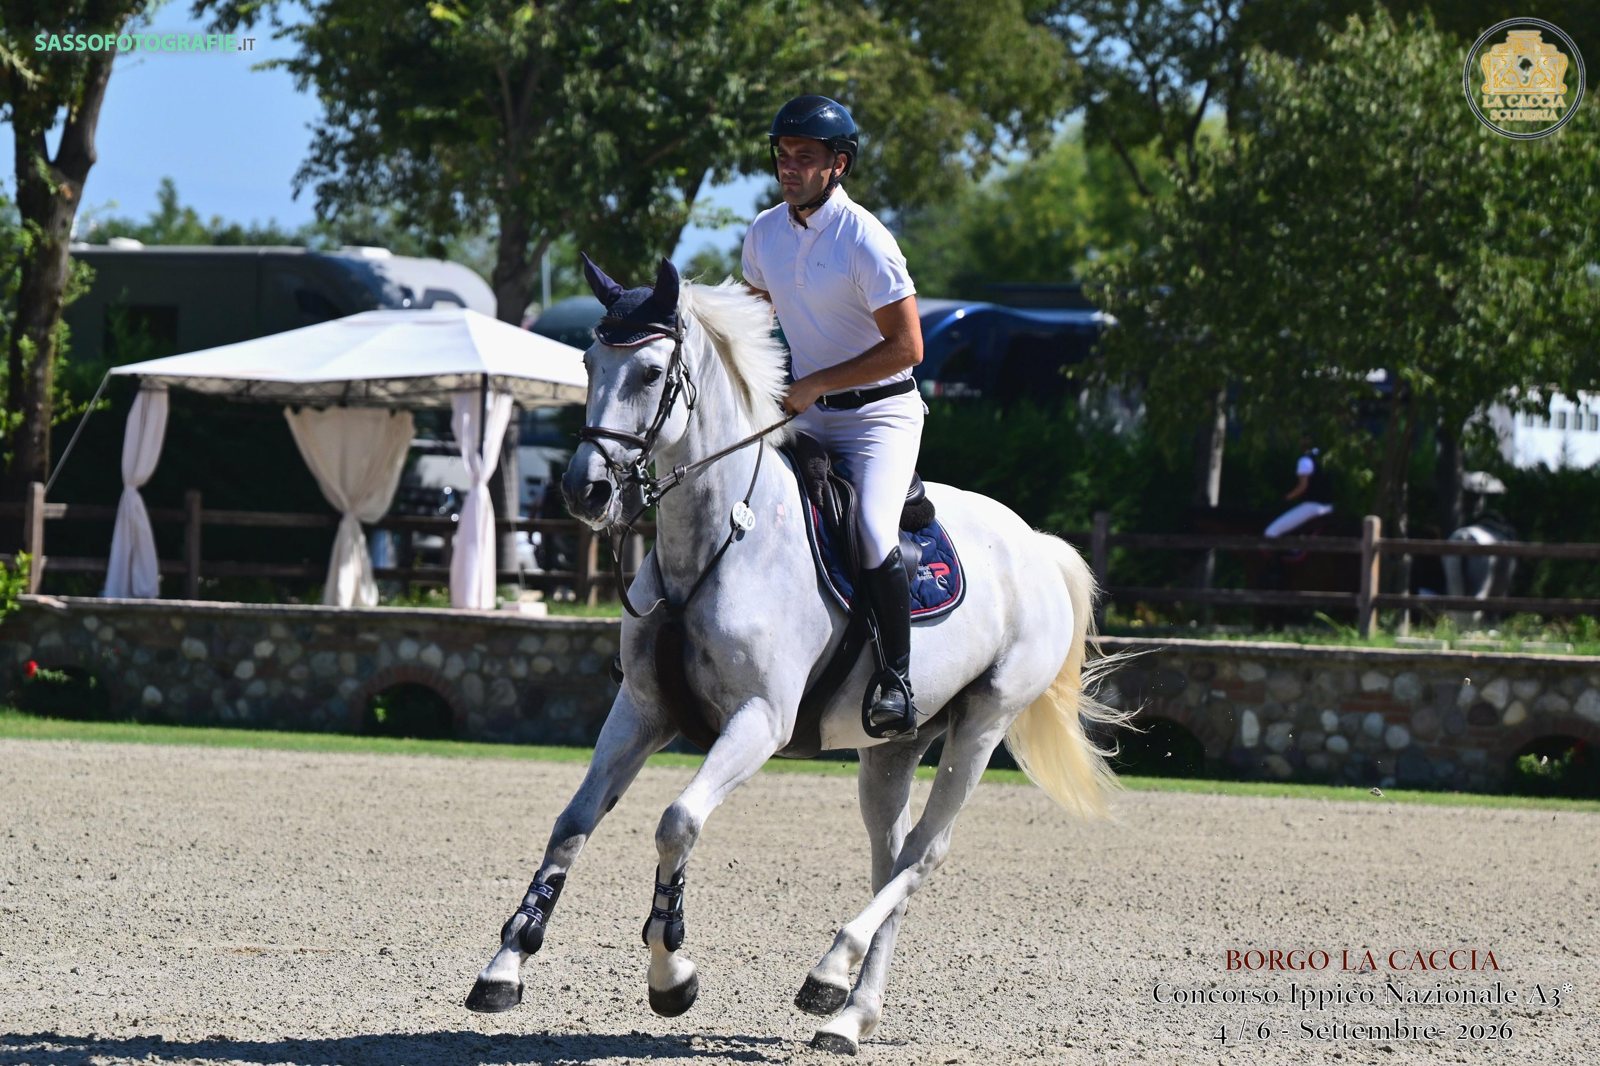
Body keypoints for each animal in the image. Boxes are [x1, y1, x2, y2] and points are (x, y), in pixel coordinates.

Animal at [465, 257, 1128, 1054]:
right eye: (589, 364)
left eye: (651, 371)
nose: (584, 490)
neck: (716, 540)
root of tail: (1037, 545)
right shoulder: (643, 710)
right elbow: (571, 824)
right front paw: (505, 965)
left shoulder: (760, 719)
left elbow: (677, 822)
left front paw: (672, 973)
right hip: (894, 747)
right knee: (892, 854)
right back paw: (848, 1010)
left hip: (983, 723)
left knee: (924, 854)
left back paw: (832, 969)